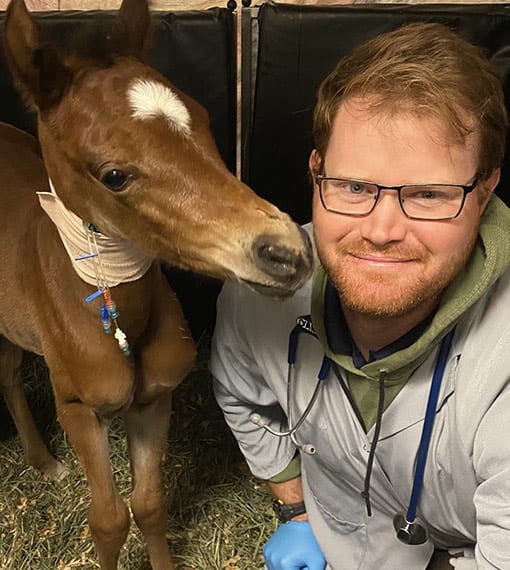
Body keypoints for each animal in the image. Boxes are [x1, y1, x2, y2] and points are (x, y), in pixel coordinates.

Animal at [0, 2, 312, 564]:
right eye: (114, 175)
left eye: (205, 119)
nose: (287, 252)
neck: (120, 319)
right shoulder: (79, 411)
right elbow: (107, 520)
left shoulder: (154, 400)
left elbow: (148, 505)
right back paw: (45, 460)